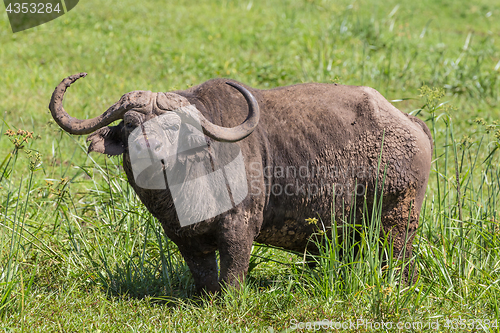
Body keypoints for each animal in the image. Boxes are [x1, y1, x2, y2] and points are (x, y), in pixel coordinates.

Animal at [48, 72, 432, 290]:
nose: (147, 146)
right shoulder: (182, 236)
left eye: (172, 126)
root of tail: (411, 123)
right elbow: (203, 273)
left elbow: (233, 270)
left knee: (402, 261)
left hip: (398, 222)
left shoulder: (240, 225)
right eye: (129, 123)